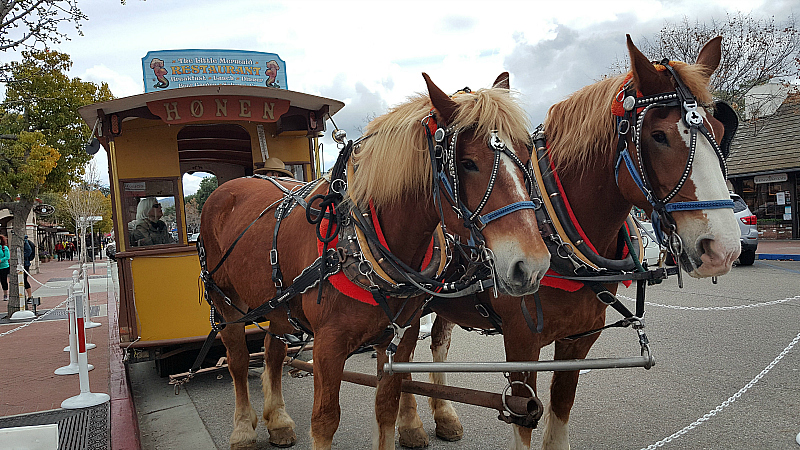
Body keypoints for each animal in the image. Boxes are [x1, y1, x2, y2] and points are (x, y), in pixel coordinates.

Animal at [199, 72, 552, 448]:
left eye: (527, 154)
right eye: (468, 162)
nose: (531, 265)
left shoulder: (398, 338)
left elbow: (386, 407)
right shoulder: (327, 345)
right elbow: (325, 420)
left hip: (277, 303)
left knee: (272, 350)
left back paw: (278, 421)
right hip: (227, 302)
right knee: (237, 359)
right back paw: (242, 429)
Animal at [400, 35, 744, 450]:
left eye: (720, 132)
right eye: (658, 136)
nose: (723, 248)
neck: (557, 229)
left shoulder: (580, 339)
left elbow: (562, 402)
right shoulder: (522, 342)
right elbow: (523, 418)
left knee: (437, 342)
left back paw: (444, 415)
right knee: (402, 354)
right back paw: (410, 425)